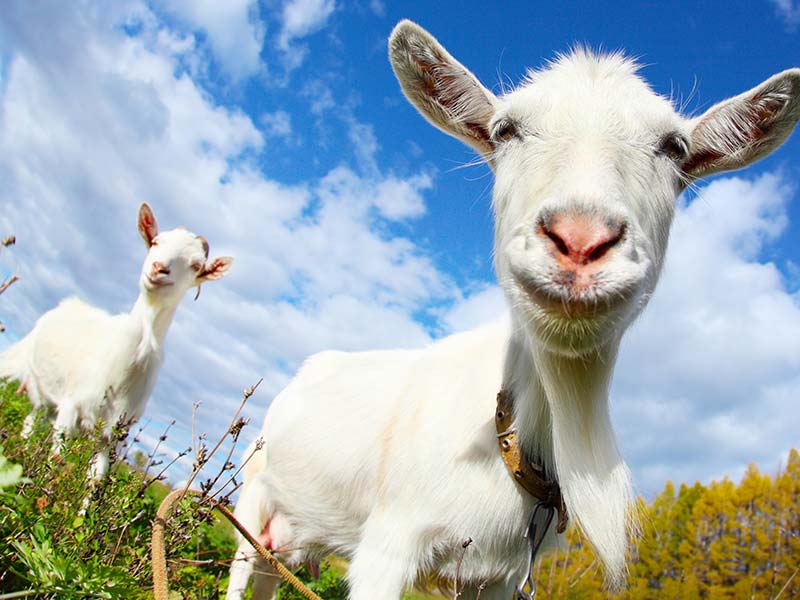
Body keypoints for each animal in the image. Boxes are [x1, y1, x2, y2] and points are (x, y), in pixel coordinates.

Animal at [0, 204, 231, 480]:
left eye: (196, 265)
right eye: (156, 241)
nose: (158, 268)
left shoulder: (113, 436)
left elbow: (96, 479)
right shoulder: (70, 407)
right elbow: (55, 459)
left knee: (33, 420)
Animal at [227, 19, 800, 600]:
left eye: (675, 147)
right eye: (505, 131)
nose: (580, 239)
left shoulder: (499, 577)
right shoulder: (388, 545)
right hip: (251, 498)